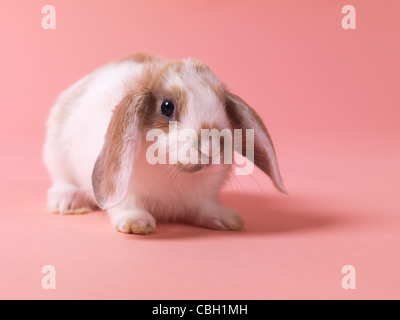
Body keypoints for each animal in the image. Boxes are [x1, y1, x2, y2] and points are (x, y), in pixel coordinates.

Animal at [43, 53, 288, 235]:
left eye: (225, 108)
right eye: (167, 107)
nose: (210, 147)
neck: (173, 173)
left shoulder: (204, 196)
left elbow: (205, 208)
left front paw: (225, 218)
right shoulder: (127, 191)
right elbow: (126, 205)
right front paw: (137, 223)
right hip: (56, 155)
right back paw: (67, 201)